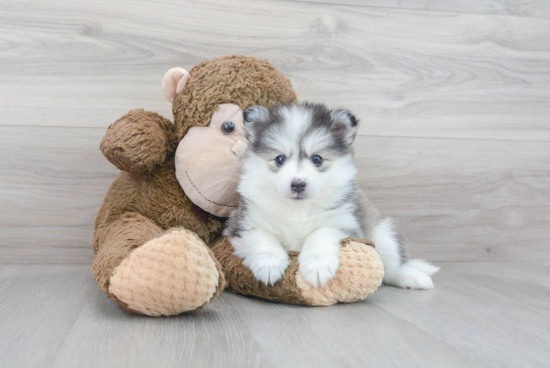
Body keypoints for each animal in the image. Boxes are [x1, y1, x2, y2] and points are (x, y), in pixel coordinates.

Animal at [224, 102, 440, 288]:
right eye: (279, 159)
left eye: (317, 159)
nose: (298, 184)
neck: (297, 212)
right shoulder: (242, 223)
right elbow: (263, 237)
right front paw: (269, 263)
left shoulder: (346, 223)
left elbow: (321, 233)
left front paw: (317, 264)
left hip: (385, 237)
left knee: (392, 267)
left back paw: (412, 277)